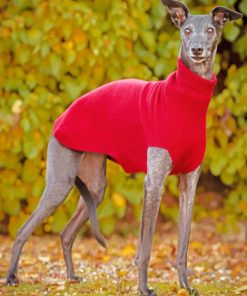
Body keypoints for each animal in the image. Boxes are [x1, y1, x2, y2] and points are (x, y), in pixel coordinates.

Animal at [6, 0, 242, 296]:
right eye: (186, 30)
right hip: (60, 182)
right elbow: (145, 247)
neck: (185, 98)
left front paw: (186, 287)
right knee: (23, 231)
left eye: (210, 30)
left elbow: (184, 246)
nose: (196, 50)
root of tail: (63, 115)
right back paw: (12, 277)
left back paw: (71, 277)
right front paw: (144, 288)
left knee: (66, 233)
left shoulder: (189, 185)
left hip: (95, 188)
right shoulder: (154, 182)